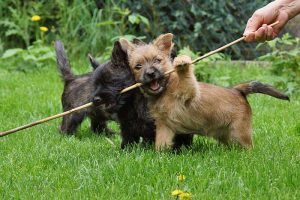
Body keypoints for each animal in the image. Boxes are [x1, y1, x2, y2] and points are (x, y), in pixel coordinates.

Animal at [119, 33, 288, 150]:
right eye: (138, 66)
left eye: (157, 60)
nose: (150, 73)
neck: (165, 89)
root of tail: (237, 90)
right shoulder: (164, 126)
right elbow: (161, 143)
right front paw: (160, 155)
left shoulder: (189, 92)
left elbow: (186, 77)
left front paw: (182, 61)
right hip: (228, 134)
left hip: (239, 132)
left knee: (247, 148)